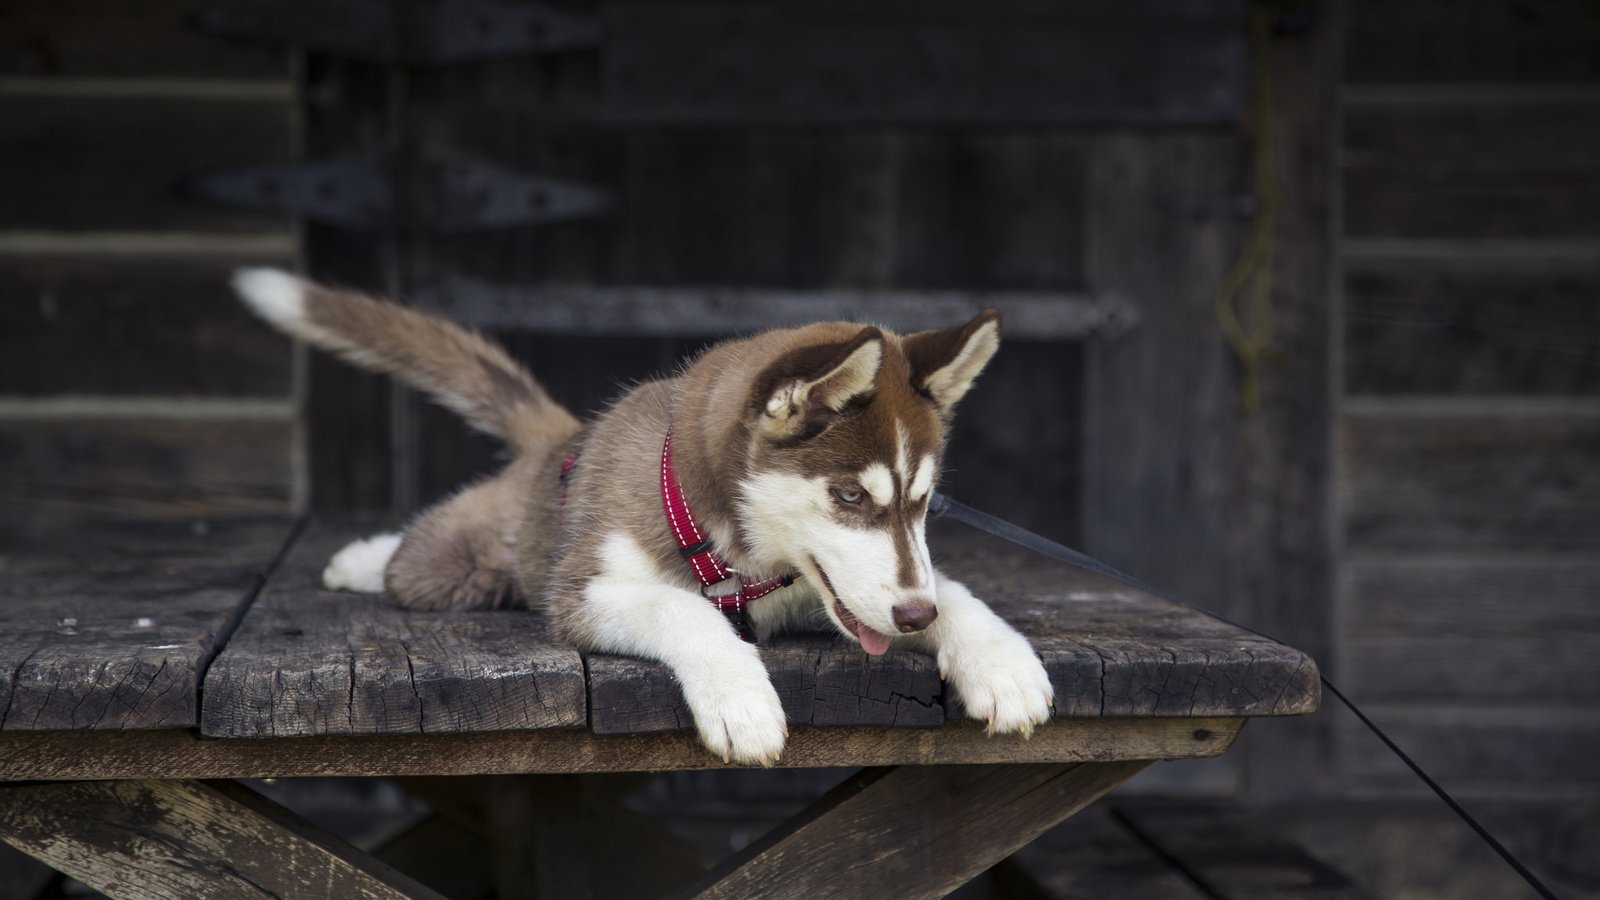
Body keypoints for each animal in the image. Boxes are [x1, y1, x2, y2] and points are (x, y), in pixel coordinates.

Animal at [232, 265, 1056, 755]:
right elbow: (678, 607)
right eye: (850, 496)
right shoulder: (583, 592)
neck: (733, 551)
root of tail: (563, 440)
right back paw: (364, 558)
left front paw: (1000, 660)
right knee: (422, 555)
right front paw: (738, 696)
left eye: (923, 502)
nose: (915, 618)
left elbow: (954, 590)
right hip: (452, 567)